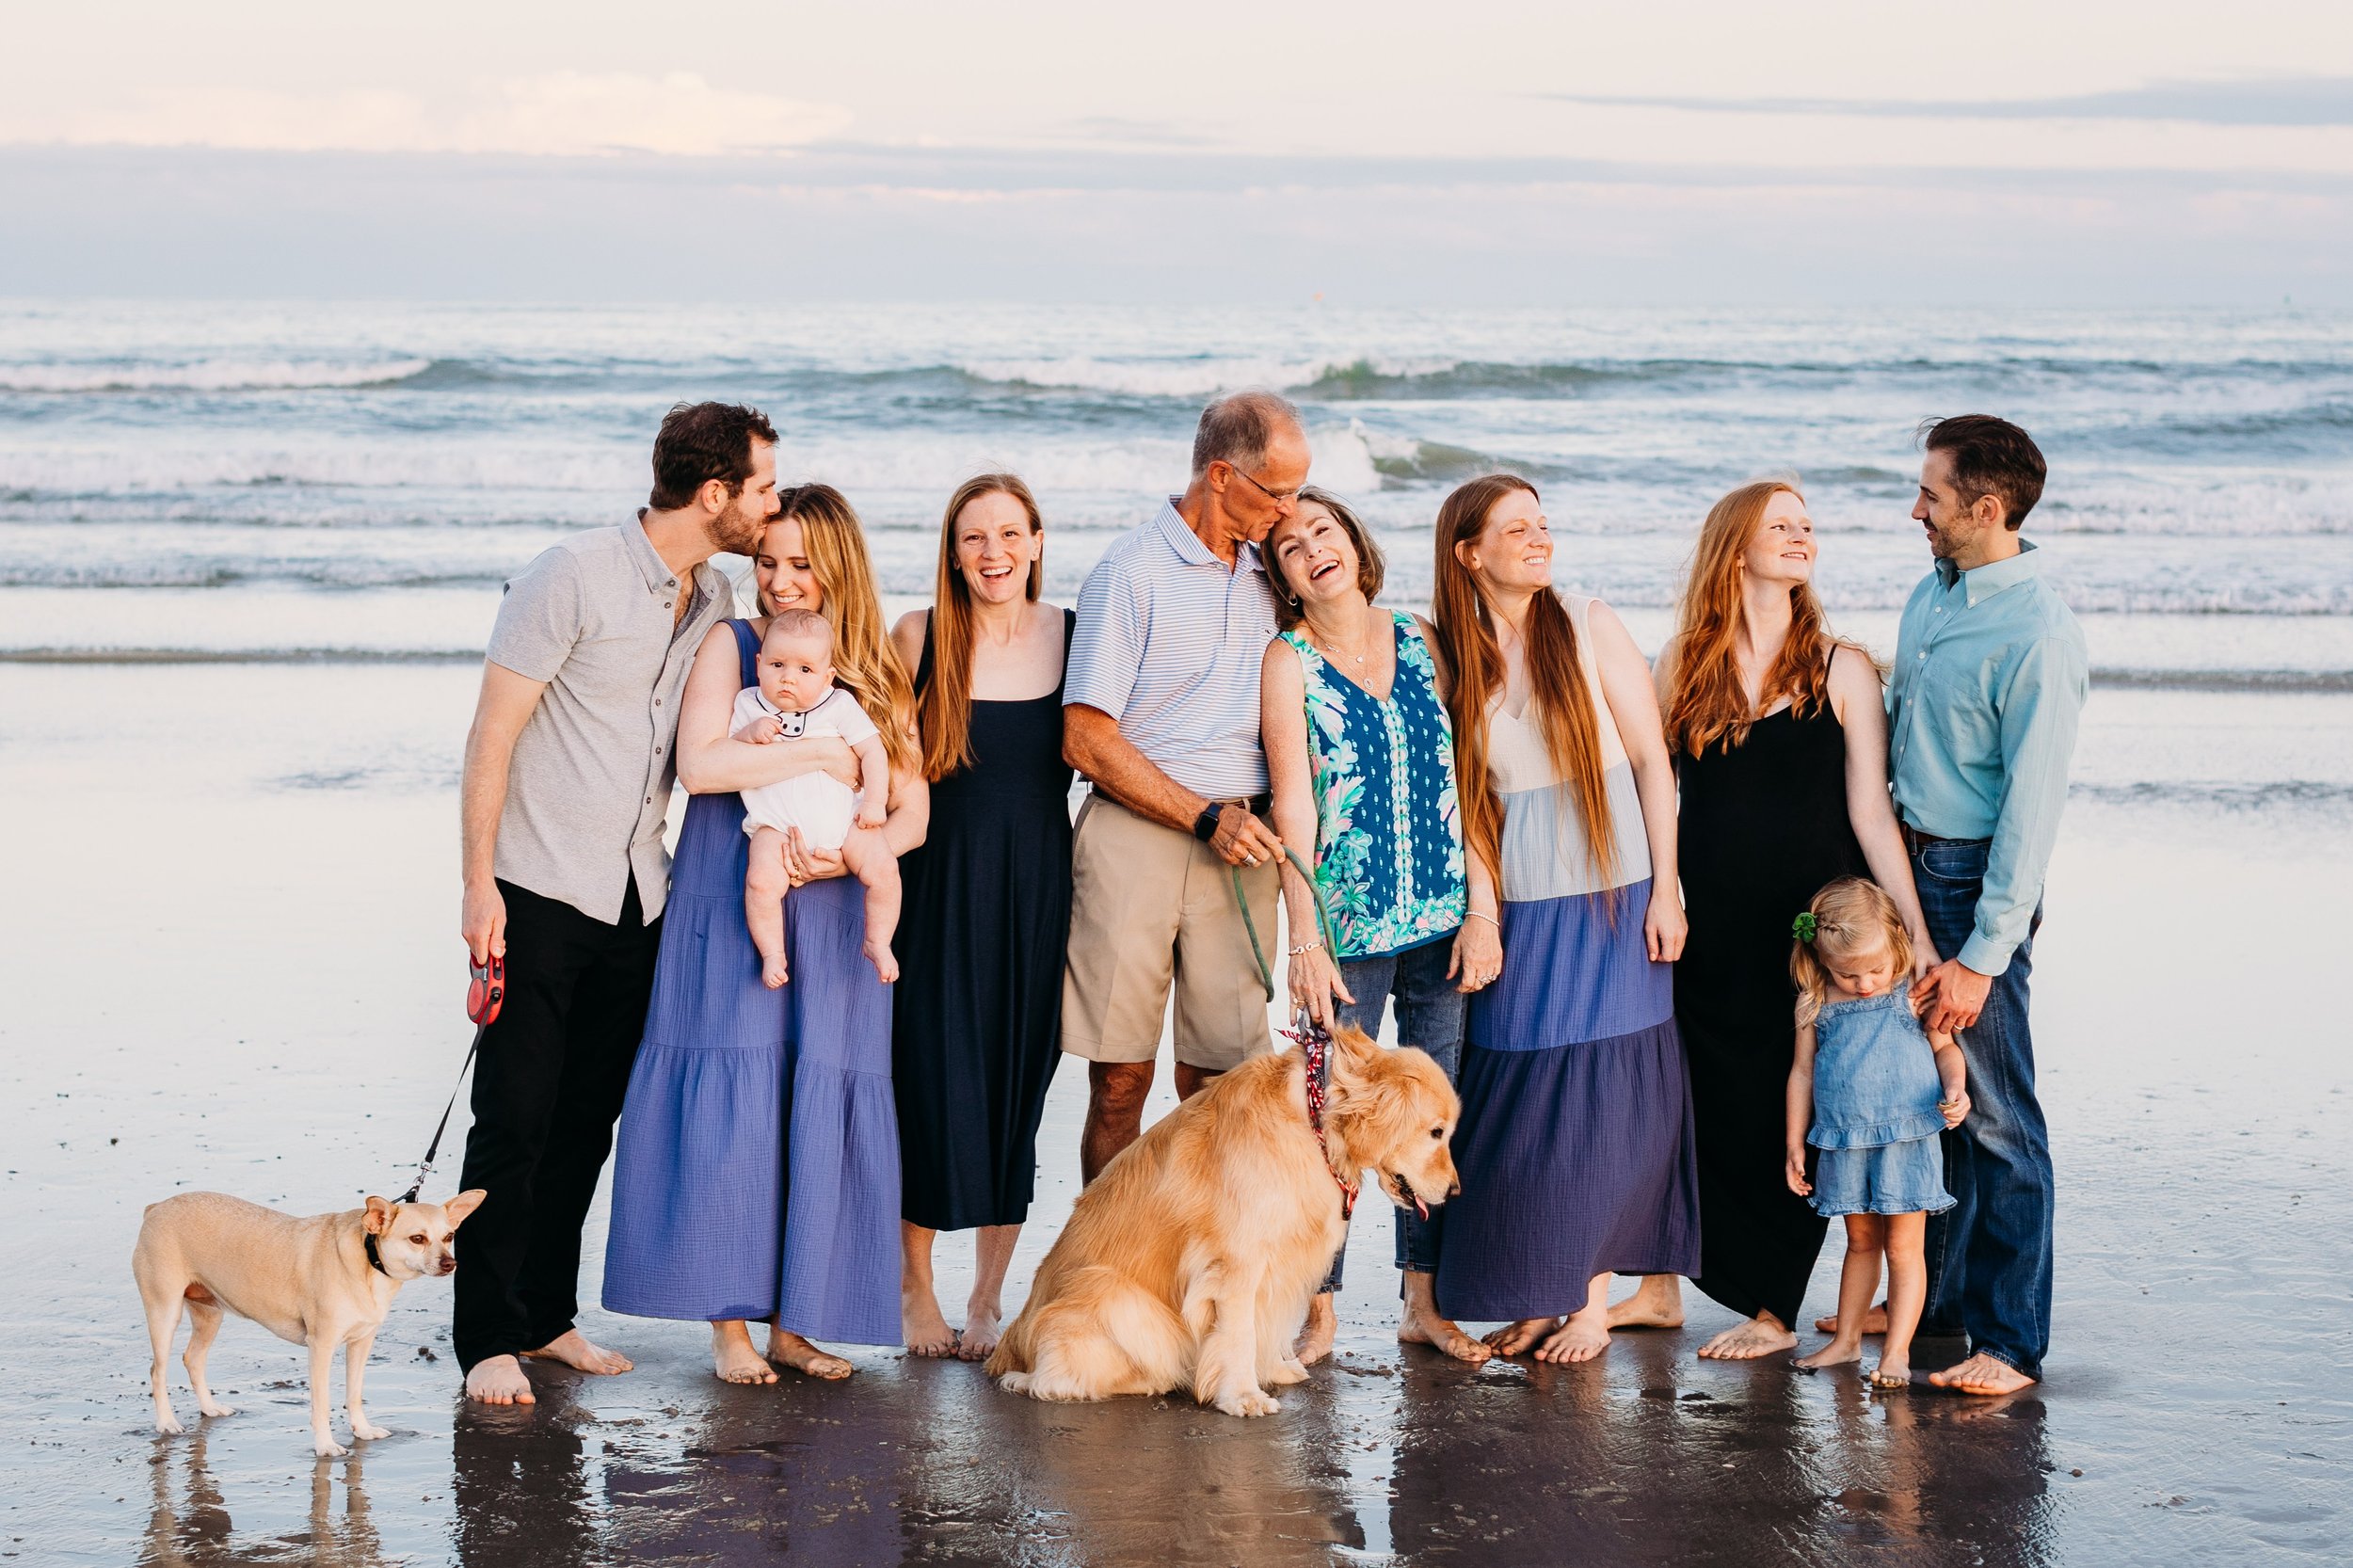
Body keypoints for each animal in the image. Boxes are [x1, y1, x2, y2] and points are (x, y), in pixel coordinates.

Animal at [132, 1186, 482, 1449]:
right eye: (417, 1239)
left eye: (449, 1236)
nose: (450, 1264)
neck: (368, 1260)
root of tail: (156, 1208)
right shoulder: (321, 1347)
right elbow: (322, 1403)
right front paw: (326, 1447)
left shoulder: (361, 1344)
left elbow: (354, 1394)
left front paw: (362, 1430)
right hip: (165, 1312)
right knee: (157, 1371)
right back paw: (167, 1422)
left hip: (210, 1313)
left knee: (193, 1358)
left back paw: (209, 1407)